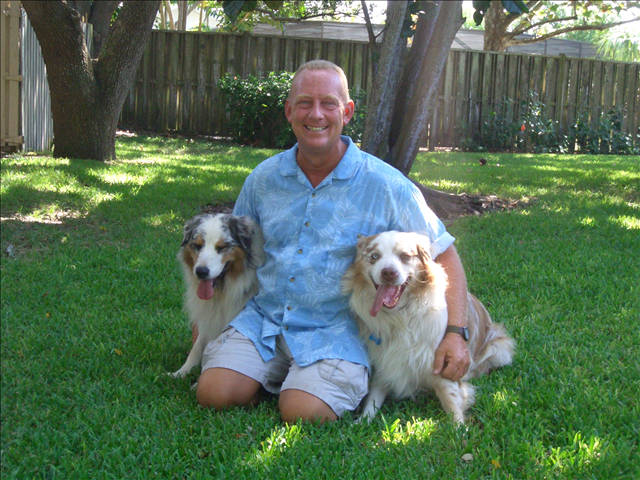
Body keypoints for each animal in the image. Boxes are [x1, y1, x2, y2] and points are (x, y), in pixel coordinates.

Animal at [169, 213, 264, 378]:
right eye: (197, 245)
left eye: (222, 247)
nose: (201, 272)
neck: (222, 292)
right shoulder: (209, 318)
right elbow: (198, 345)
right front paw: (181, 372)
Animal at [342, 231, 515, 423]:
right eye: (374, 257)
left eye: (405, 256)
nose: (388, 273)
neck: (400, 317)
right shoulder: (383, 361)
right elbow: (374, 396)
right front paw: (362, 421)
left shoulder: (442, 365)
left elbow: (451, 399)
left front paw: (459, 427)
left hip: (500, 349)